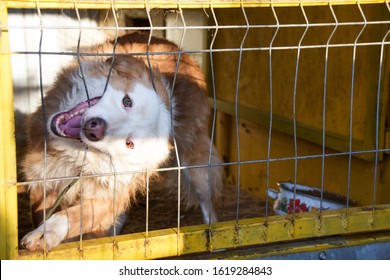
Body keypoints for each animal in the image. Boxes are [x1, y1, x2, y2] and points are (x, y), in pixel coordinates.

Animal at [21, 32, 222, 252]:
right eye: (127, 101)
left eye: (129, 143)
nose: (94, 128)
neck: (76, 156)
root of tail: (180, 50)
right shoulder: (41, 177)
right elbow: (42, 212)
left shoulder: (106, 196)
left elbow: (71, 216)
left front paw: (47, 233)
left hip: (197, 165)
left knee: (209, 204)